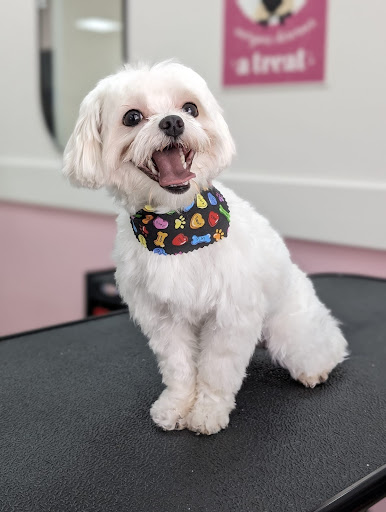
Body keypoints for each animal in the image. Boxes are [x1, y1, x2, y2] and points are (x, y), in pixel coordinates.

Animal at [62, 61, 346, 436]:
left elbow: (217, 371)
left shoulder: (231, 315)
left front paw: (208, 412)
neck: (176, 227)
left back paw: (317, 367)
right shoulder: (163, 319)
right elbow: (179, 367)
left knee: (323, 345)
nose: (172, 122)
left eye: (190, 108)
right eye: (132, 117)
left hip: (291, 330)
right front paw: (176, 405)